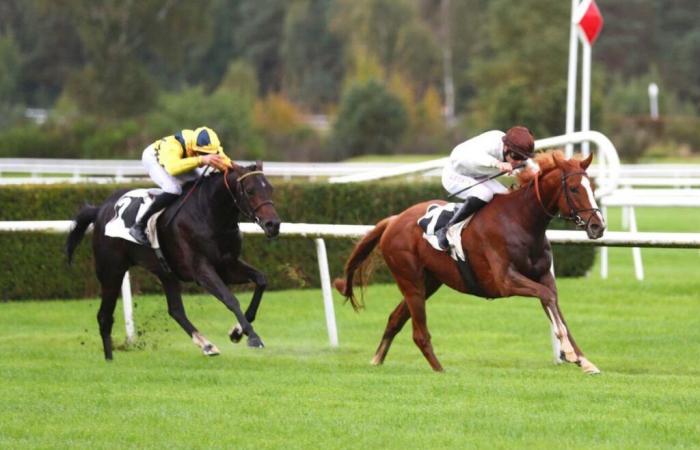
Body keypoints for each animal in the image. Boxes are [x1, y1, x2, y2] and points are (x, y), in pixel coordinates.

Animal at [336, 151, 604, 372]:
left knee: (395, 319)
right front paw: (569, 353)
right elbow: (547, 297)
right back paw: (440, 370)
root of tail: (393, 220)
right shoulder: (506, 281)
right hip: (410, 281)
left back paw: (377, 360)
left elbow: (554, 304)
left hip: (428, 282)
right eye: (574, 188)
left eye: (591, 186)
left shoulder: (544, 276)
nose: (597, 226)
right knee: (419, 333)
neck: (521, 221)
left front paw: (583, 360)